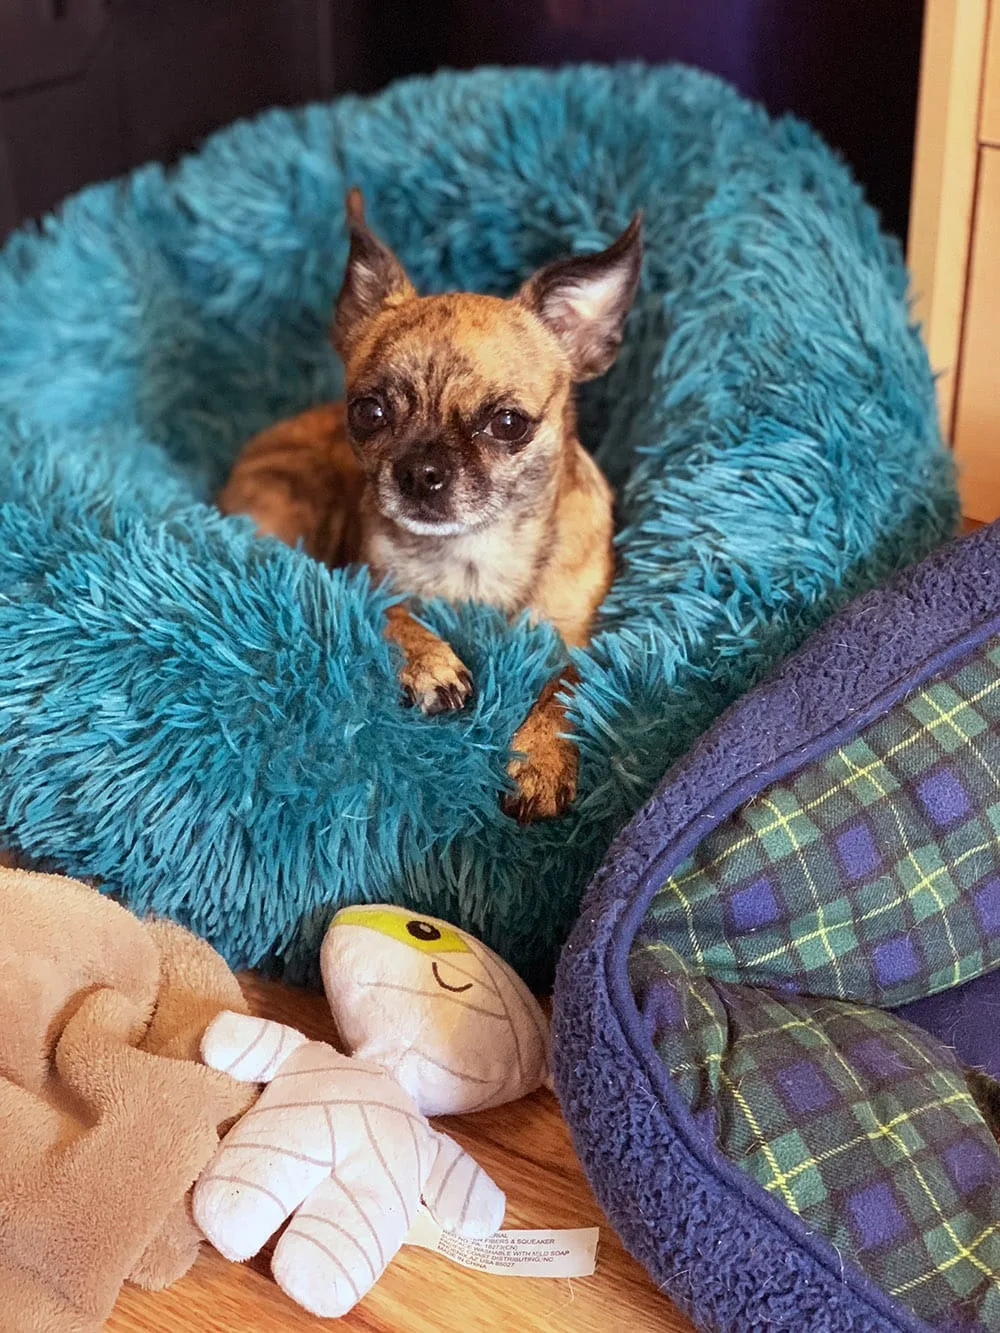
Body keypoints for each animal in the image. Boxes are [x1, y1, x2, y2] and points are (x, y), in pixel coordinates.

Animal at [218, 191, 642, 815]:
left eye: (508, 424)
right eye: (368, 412)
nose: (421, 471)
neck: (475, 553)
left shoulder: (581, 637)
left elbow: (565, 685)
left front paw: (541, 757)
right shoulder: (366, 575)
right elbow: (390, 612)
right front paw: (428, 662)